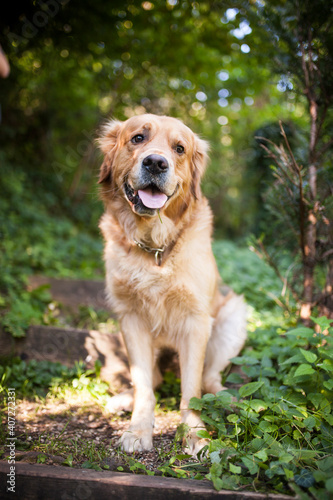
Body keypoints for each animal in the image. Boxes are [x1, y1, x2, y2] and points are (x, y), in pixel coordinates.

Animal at [97, 114, 245, 458]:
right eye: (138, 138)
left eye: (179, 149)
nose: (155, 163)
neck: (154, 246)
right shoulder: (131, 318)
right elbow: (143, 384)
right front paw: (139, 429)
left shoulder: (196, 321)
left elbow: (191, 389)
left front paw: (194, 434)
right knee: (150, 378)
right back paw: (124, 398)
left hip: (234, 317)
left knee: (210, 379)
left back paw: (227, 400)